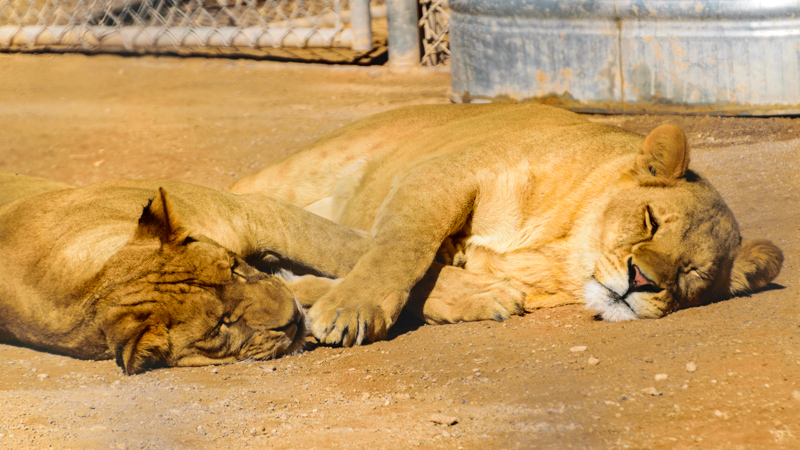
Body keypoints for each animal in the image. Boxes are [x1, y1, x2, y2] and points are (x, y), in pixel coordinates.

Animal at [0, 173, 368, 374]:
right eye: (221, 325)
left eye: (234, 268)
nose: (292, 319)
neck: (91, 284)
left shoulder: (252, 212)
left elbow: (342, 247)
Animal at [230, 103, 784, 347]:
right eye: (649, 221)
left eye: (692, 273)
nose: (642, 281)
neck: (559, 250)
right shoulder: (441, 174)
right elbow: (401, 247)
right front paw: (350, 307)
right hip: (306, 168)